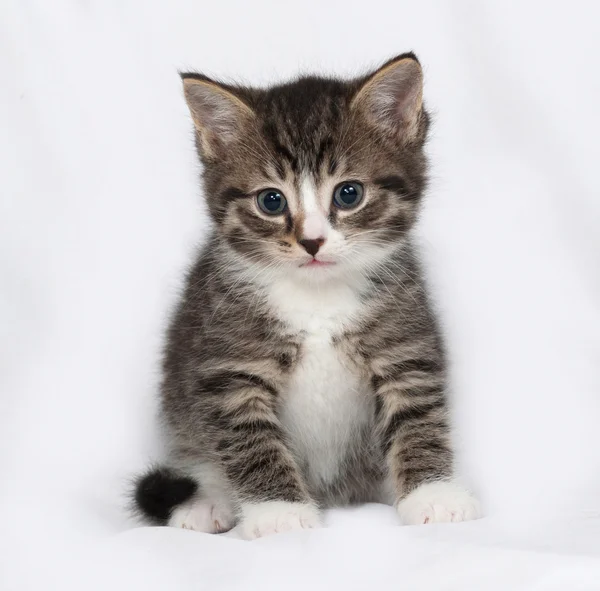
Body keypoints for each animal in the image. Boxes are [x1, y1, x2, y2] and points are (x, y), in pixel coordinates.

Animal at [134, 53, 480, 540]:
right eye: (271, 201)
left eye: (349, 193)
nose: (312, 241)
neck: (318, 301)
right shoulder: (228, 362)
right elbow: (249, 440)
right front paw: (278, 512)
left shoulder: (404, 342)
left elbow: (418, 415)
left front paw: (434, 494)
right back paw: (206, 503)